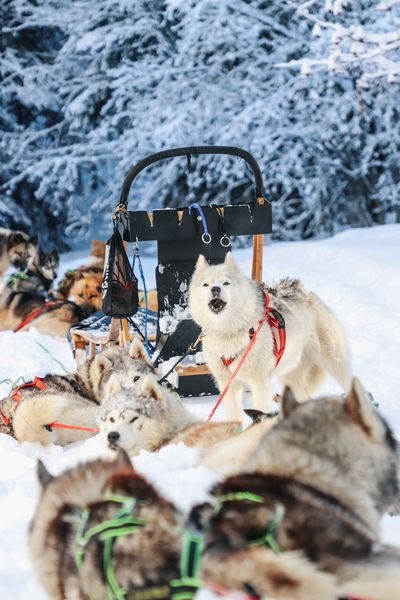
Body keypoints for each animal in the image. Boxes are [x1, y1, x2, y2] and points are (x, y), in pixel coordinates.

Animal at [189, 252, 352, 418]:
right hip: (290, 377)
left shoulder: (260, 383)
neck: (228, 330)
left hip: (334, 362)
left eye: (226, 283)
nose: (215, 289)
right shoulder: (228, 385)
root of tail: (307, 293)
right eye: (206, 284)